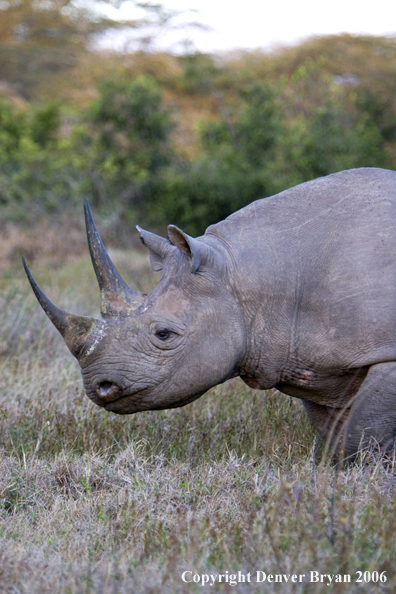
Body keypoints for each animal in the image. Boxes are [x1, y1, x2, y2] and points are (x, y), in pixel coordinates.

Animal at [24, 169, 396, 456]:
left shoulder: (385, 352)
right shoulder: (314, 362)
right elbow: (336, 434)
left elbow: (361, 436)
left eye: (164, 334)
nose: (98, 387)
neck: (245, 273)